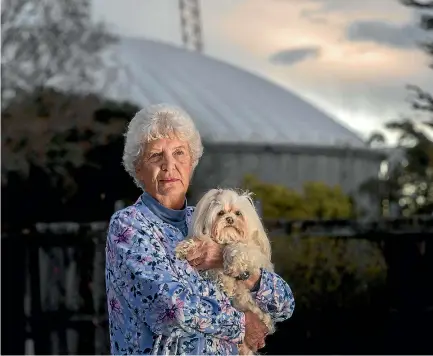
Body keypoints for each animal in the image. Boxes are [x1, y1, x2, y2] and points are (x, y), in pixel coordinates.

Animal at [175, 188, 274, 354]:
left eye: (238, 213)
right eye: (220, 213)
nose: (229, 219)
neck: (226, 239)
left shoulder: (251, 253)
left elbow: (237, 250)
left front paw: (232, 265)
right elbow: (201, 244)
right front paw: (184, 247)